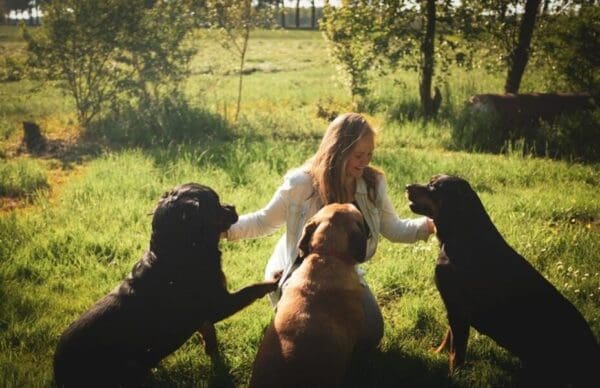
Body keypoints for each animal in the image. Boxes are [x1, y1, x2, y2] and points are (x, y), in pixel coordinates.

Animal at [54, 183, 278, 386]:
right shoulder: (219, 305)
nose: (232, 206)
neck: (177, 251)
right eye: (215, 203)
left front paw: (215, 358)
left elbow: (209, 333)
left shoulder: (203, 317)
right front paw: (273, 281)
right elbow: (252, 289)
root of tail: (58, 373)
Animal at [406, 175, 600, 384]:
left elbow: (456, 352)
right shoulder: (455, 308)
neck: (463, 234)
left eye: (434, 186)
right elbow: (448, 338)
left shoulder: (458, 308)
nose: (407, 186)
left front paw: (453, 377)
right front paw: (436, 353)